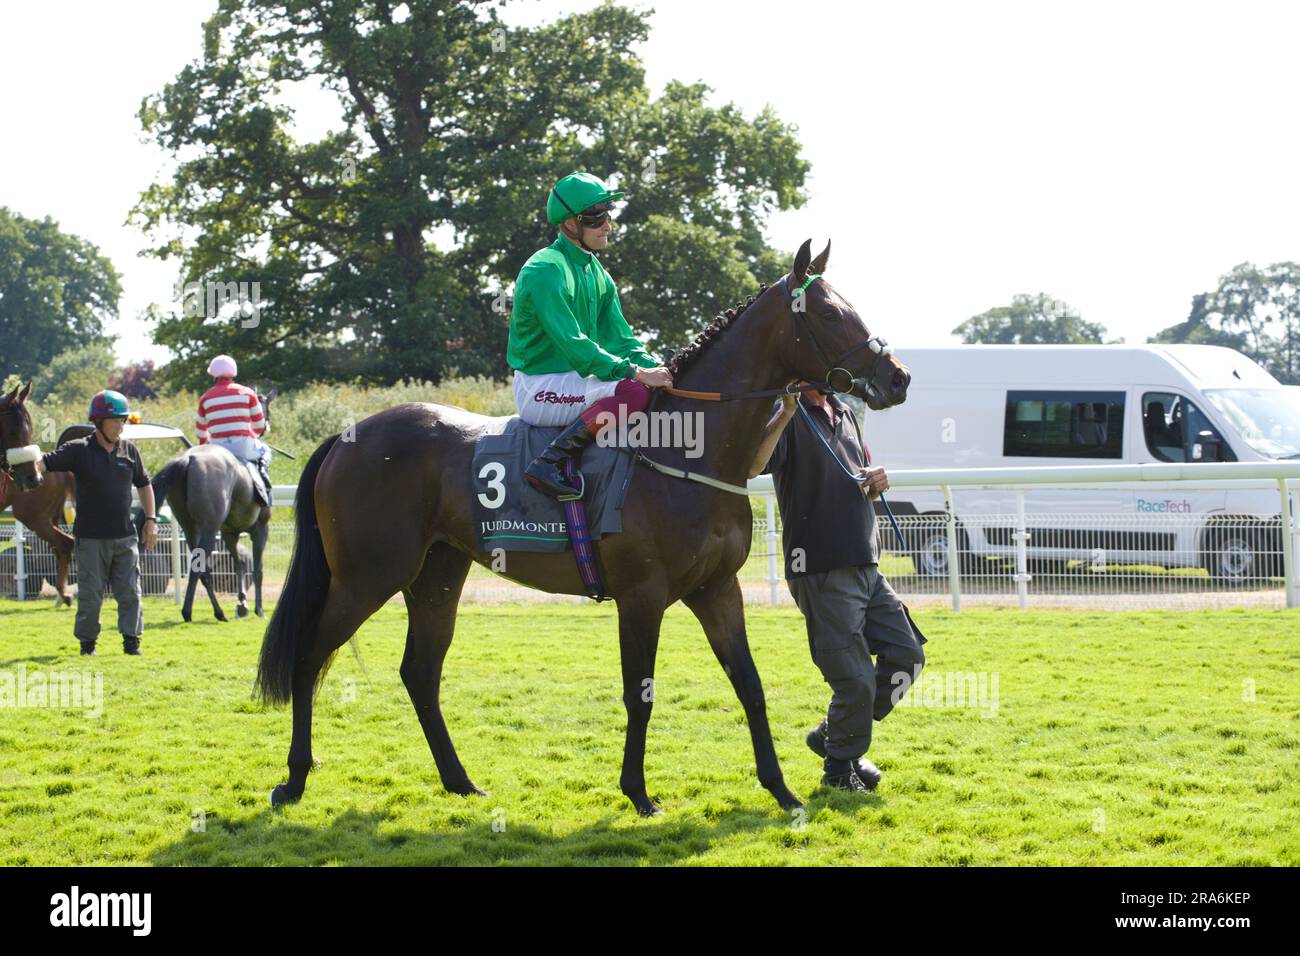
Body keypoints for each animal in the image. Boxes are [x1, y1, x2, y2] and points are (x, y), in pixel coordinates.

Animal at [0, 382, 74, 606]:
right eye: (12, 430)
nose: (34, 478)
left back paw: (63, 593)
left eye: (30, 428)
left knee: (65, 544)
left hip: (34, 517)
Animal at [256, 240, 915, 816]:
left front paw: (781, 791)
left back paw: (460, 781)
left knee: (419, 671)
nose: (898, 377)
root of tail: (346, 435)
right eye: (828, 313)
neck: (688, 452)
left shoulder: (717, 589)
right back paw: (293, 779)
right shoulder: (642, 597)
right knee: (309, 655)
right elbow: (639, 693)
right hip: (368, 576)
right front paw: (639, 793)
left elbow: (749, 686)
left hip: (438, 572)